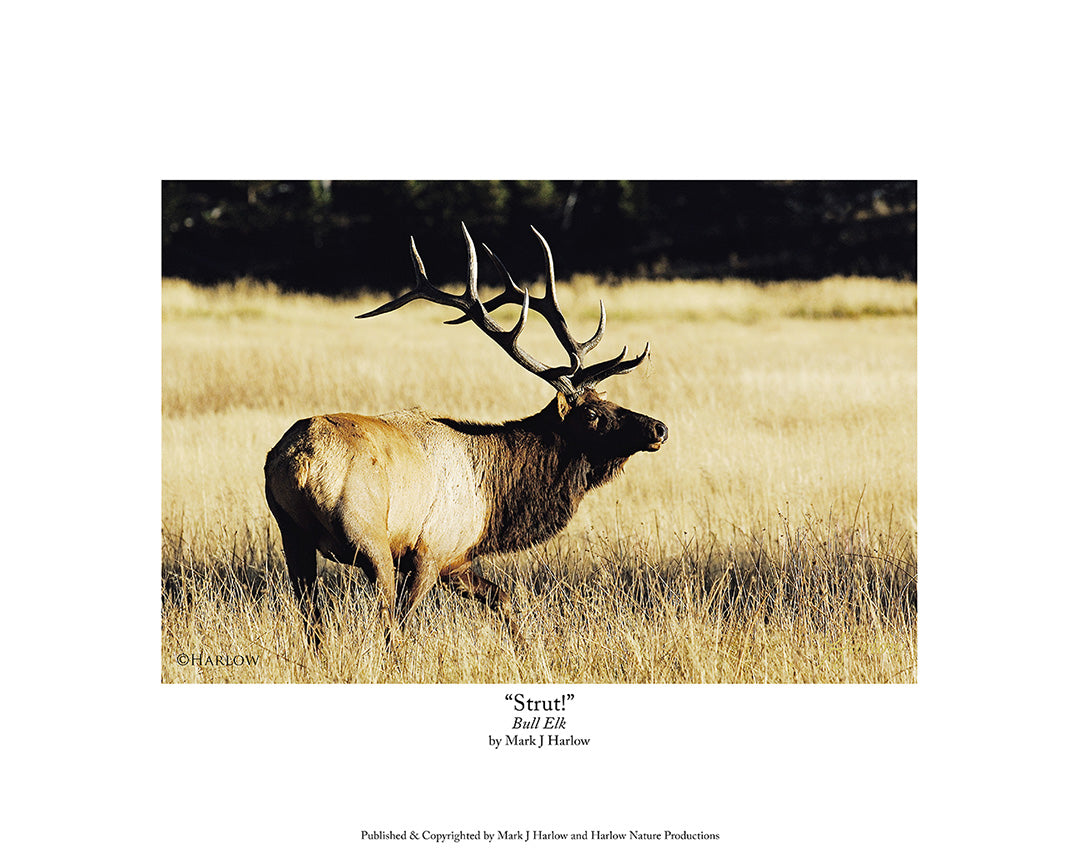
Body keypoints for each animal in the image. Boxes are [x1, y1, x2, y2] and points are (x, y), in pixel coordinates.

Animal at [264, 223, 667, 647]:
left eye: (611, 400)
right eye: (591, 413)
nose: (659, 428)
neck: (493, 503)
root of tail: (297, 462)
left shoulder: (455, 560)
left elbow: (502, 597)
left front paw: (524, 646)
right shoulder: (429, 551)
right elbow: (405, 620)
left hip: (292, 535)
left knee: (311, 616)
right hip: (366, 534)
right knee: (385, 620)